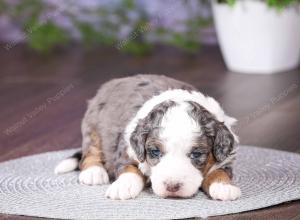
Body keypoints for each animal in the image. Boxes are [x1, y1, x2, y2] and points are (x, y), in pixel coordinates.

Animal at [54, 74, 241, 201]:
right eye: (155, 152)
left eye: (196, 154)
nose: (172, 187)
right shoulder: (126, 149)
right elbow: (130, 168)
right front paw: (123, 186)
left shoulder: (225, 158)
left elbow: (219, 171)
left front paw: (223, 187)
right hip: (93, 125)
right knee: (89, 153)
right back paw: (94, 173)